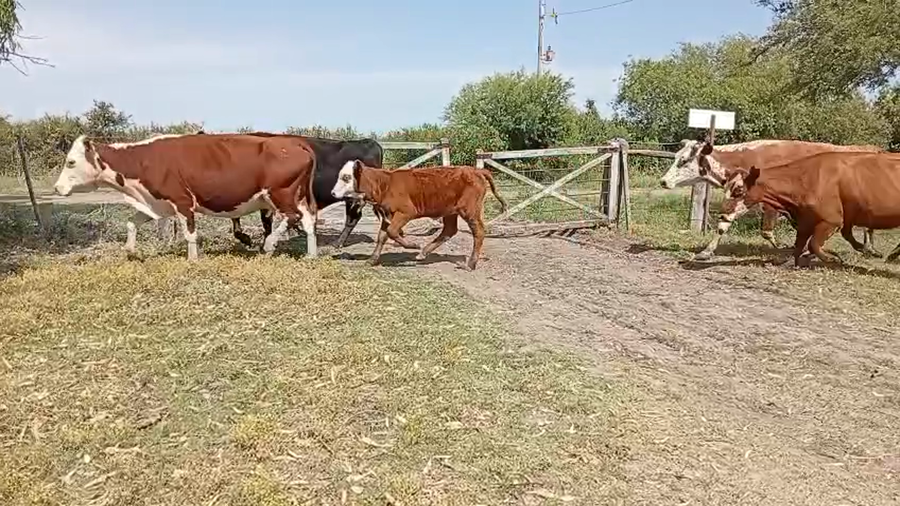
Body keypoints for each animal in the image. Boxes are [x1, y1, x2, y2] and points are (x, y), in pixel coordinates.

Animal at [52, 133, 319, 261]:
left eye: (71, 162)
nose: (56, 187)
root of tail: (295, 144)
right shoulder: (157, 203)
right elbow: (131, 222)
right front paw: (130, 251)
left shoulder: (182, 201)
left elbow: (190, 233)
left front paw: (193, 259)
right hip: (297, 196)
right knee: (308, 221)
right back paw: (311, 254)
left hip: (280, 193)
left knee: (291, 217)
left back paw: (270, 244)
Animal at [330, 161, 508, 271]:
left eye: (346, 177)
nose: (332, 193)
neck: (385, 184)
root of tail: (475, 170)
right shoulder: (388, 215)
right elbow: (382, 236)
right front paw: (372, 259)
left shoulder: (406, 212)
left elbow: (392, 232)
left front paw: (413, 245)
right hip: (450, 211)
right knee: (449, 230)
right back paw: (424, 253)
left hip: (470, 210)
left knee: (478, 232)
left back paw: (470, 264)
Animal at [660, 139, 884, 260]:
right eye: (676, 156)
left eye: (684, 160)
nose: (663, 181)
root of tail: (875, 148)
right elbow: (724, 224)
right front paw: (706, 252)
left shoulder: (770, 204)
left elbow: (766, 232)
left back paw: (870, 249)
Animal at [719, 151, 900, 267]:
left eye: (738, 190)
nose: (721, 215)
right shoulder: (806, 220)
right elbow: (799, 245)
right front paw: (789, 262)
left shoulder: (831, 220)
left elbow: (813, 243)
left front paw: (833, 259)